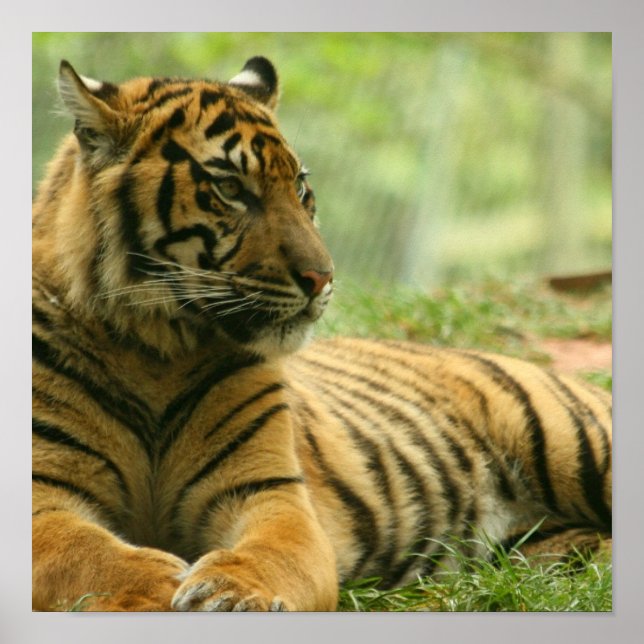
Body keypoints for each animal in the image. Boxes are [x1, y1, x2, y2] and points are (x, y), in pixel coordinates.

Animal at [32, 56, 612, 612]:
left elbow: (271, 554)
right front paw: (160, 588)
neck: (155, 349)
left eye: (300, 188)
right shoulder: (43, 496)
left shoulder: (271, 491)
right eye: (229, 188)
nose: (322, 277)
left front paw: (231, 592)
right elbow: (90, 556)